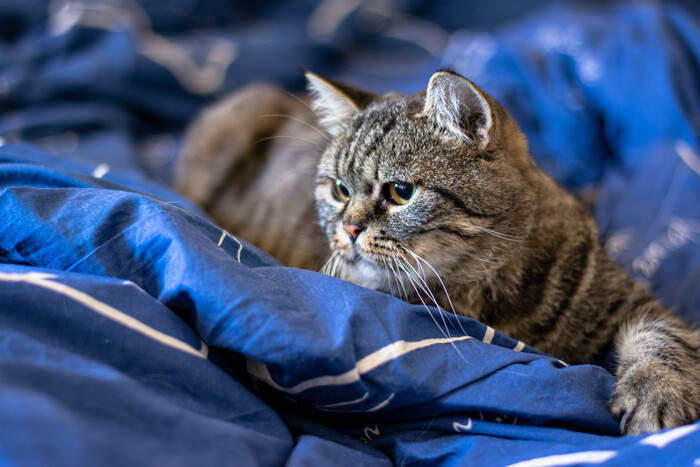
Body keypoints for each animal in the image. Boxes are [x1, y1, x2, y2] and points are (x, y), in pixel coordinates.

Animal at [175, 69, 700, 435]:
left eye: (401, 191)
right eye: (339, 190)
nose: (348, 228)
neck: (485, 288)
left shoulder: (626, 300)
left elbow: (664, 337)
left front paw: (657, 393)